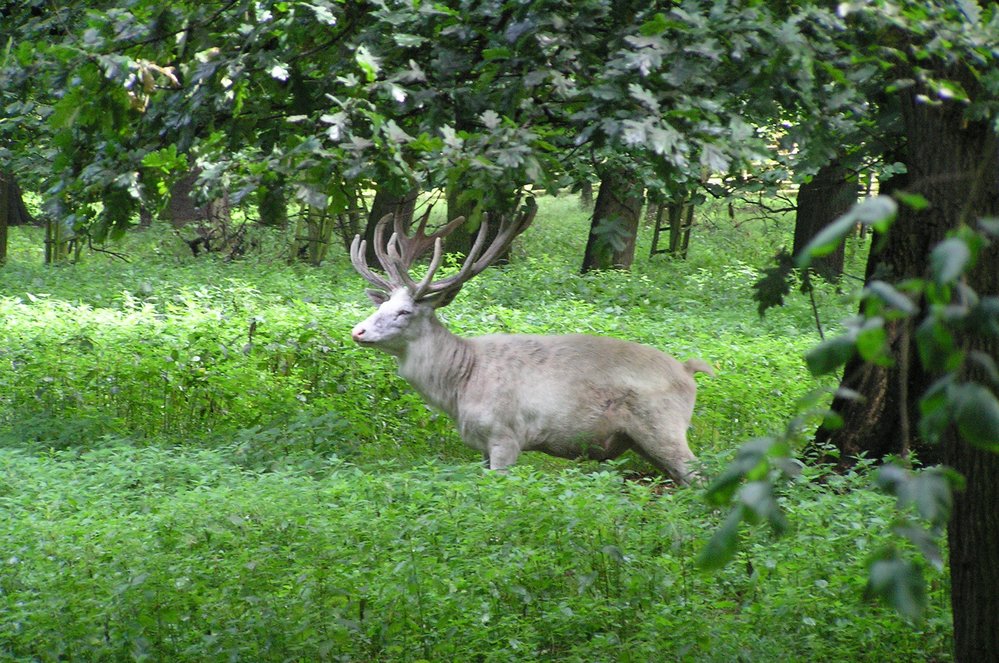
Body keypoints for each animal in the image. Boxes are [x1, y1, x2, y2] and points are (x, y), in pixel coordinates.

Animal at [348, 200, 716, 486]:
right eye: (380, 305)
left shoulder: (505, 436)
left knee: (700, 476)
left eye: (404, 311)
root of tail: (688, 371)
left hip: (664, 427)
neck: (460, 384)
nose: (358, 332)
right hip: (641, 441)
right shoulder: (482, 446)